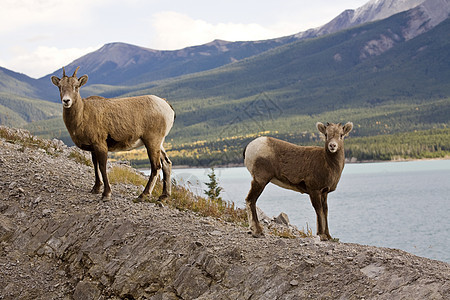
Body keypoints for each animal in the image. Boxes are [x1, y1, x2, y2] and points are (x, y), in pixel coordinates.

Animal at [51, 67, 174, 200]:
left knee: (156, 166)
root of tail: (167, 106)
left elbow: (102, 167)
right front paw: (95, 189)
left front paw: (106, 194)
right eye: (60, 87)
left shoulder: (101, 145)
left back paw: (142, 195)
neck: (82, 115)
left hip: (152, 141)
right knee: (166, 163)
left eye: (76, 86)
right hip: (159, 143)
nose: (66, 101)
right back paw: (164, 196)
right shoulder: (93, 148)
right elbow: (95, 166)